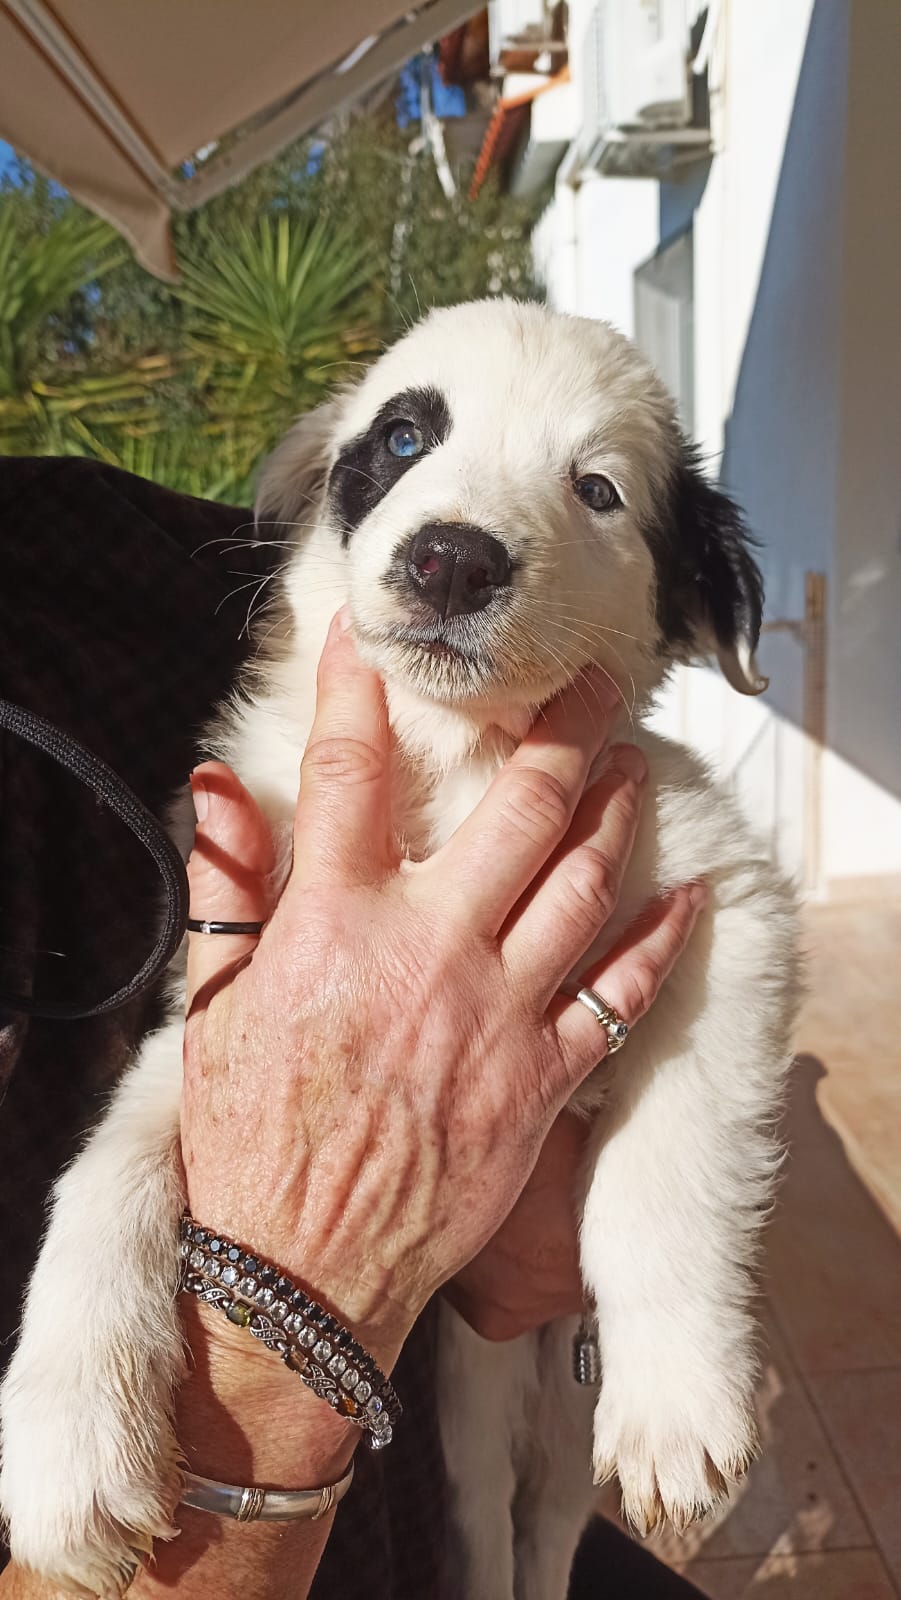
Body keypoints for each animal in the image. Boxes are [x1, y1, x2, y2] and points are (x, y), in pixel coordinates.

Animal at [0, 299, 800, 1598]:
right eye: (406, 436)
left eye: (596, 490)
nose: (453, 559)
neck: (450, 761)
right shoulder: (230, 1004)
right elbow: (104, 1169)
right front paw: (68, 1438)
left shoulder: (721, 905)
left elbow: (667, 1158)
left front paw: (681, 1398)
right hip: (471, 1400)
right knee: (483, 1520)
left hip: (548, 1408)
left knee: (547, 1522)